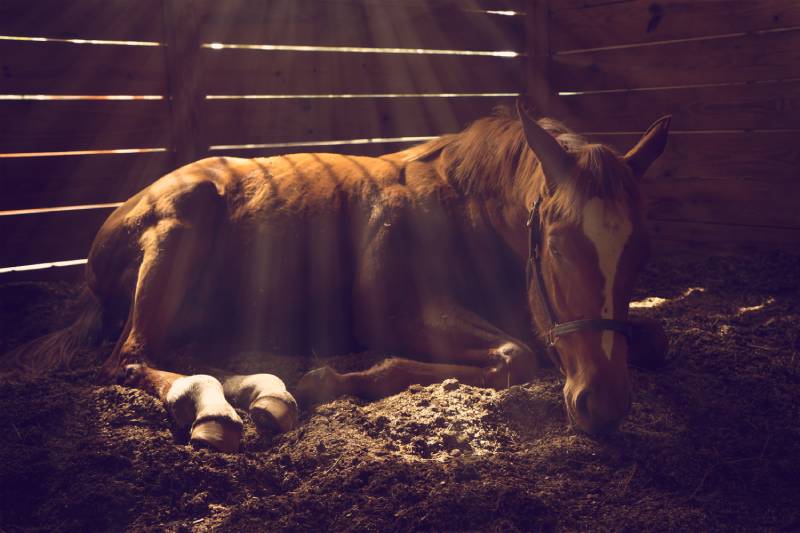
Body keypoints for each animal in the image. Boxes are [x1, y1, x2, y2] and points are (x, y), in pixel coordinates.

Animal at [7, 102, 668, 450]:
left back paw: (266, 395)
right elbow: (516, 357)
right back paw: (218, 412)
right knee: (129, 359)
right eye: (556, 244)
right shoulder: (394, 311)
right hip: (178, 229)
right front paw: (335, 378)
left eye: (642, 250)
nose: (605, 405)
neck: (462, 206)